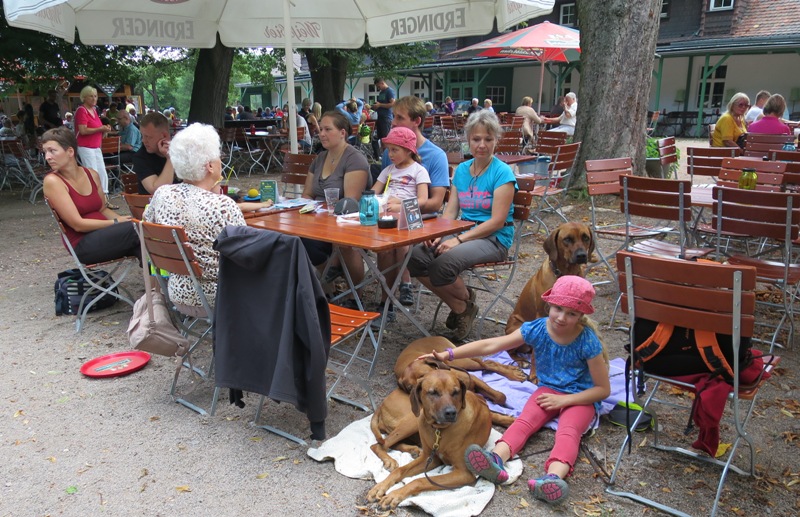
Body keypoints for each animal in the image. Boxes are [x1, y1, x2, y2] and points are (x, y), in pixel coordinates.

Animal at [366, 369, 491, 510]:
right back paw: (391, 459)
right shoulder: (430, 458)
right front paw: (381, 487)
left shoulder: (463, 473)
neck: (439, 430)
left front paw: (395, 494)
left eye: (456, 392)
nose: (451, 413)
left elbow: (420, 480)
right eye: (433, 392)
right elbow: (399, 470)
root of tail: (382, 404)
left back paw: (412, 450)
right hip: (415, 418)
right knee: (379, 444)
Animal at [504, 222, 594, 365]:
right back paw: (521, 361)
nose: (581, 255)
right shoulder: (541, 313)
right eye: (567, 239)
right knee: (509, 350)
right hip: (516, 328)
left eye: (585, 237)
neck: (567, 274)